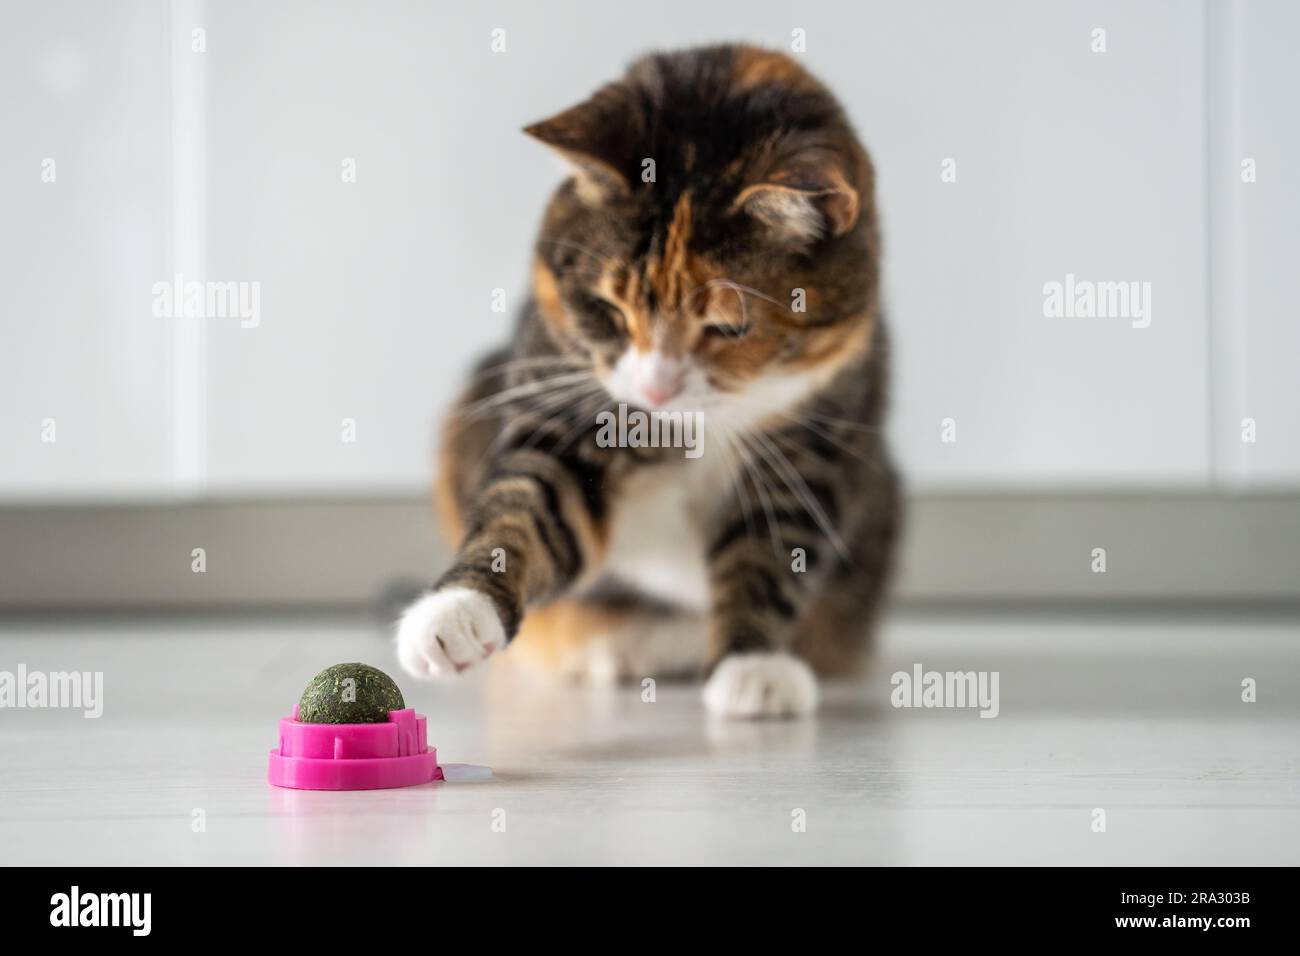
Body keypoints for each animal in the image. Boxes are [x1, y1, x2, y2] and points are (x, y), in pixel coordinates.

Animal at [400, 44, 899, 717]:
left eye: (728, 327)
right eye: (608, 308)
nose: (656, 389)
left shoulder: (817, 432)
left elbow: (770, 549)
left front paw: (752, 665)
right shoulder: (564, 404)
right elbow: (530, 507)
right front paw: (454, 614)